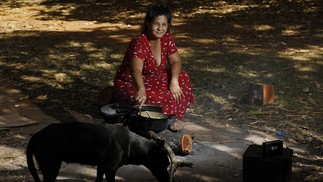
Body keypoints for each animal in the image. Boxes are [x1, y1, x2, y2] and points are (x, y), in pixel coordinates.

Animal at [26, 122, 172, 182]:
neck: (132, 144)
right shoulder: (110, 169)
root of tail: (36, 136)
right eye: (164, 164)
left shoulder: (102, 167)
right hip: (51, 167)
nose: (168, 179)